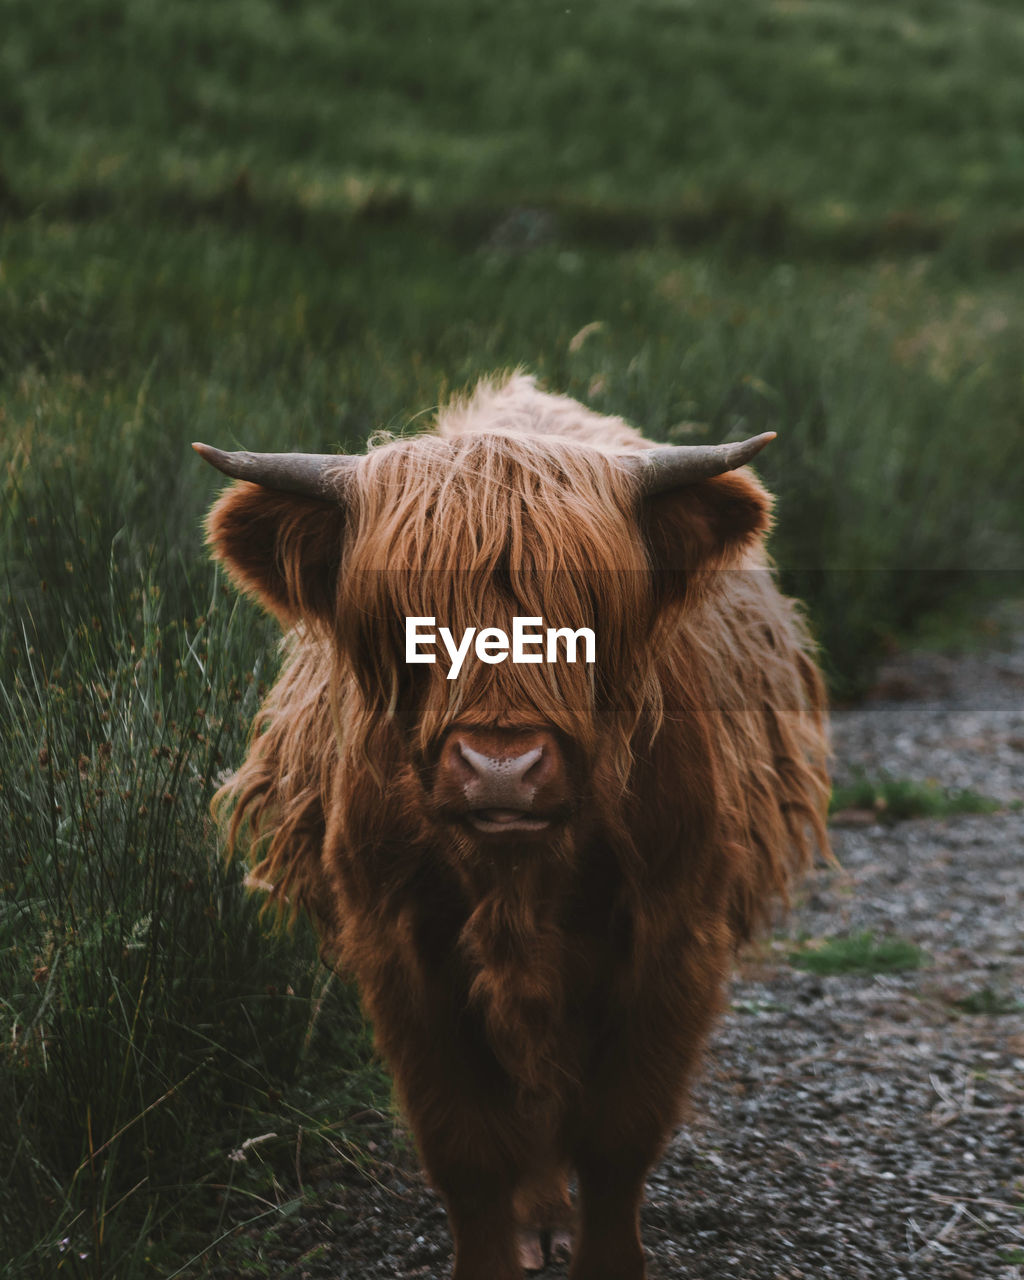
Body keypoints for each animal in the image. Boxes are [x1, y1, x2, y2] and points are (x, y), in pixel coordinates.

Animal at [195, 373, 829, 1280]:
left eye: (588, 612)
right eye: (407, 617)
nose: (502, 767)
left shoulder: (673, 932)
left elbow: (619, 1134)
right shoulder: (400, 945)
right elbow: (465, 1145)